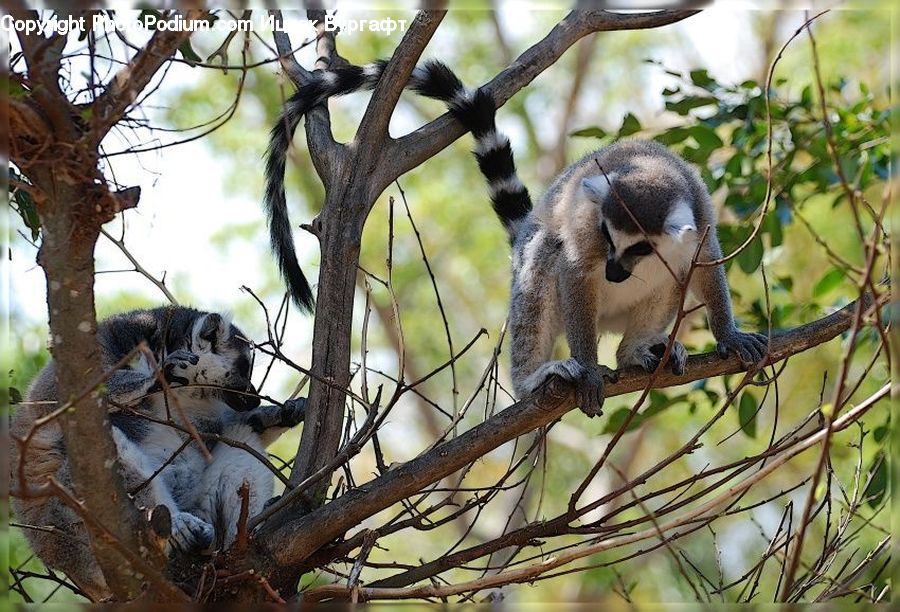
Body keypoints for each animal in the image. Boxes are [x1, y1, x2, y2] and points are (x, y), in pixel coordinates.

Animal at [9, 306, 307, 600]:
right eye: (244, 370)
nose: (254, 398)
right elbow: (75, 398)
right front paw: (157, 376)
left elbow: (222, 431)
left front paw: (282, 413)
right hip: (75, 533)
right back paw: (177, 527)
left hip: (201, 507)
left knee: (239, 438)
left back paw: (241, 540)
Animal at [265, 60, 768, 416]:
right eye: (607, 237)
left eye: (640, 246)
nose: (613, 272)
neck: (651, 170)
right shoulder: (587, 232)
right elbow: (573, 270)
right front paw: (588, 373)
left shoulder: (699, 217)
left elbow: (705, 267)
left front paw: (730, 336)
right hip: (542, 265)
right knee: (545, 261)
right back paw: (534, 380)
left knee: (667, 284)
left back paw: (634, 351)